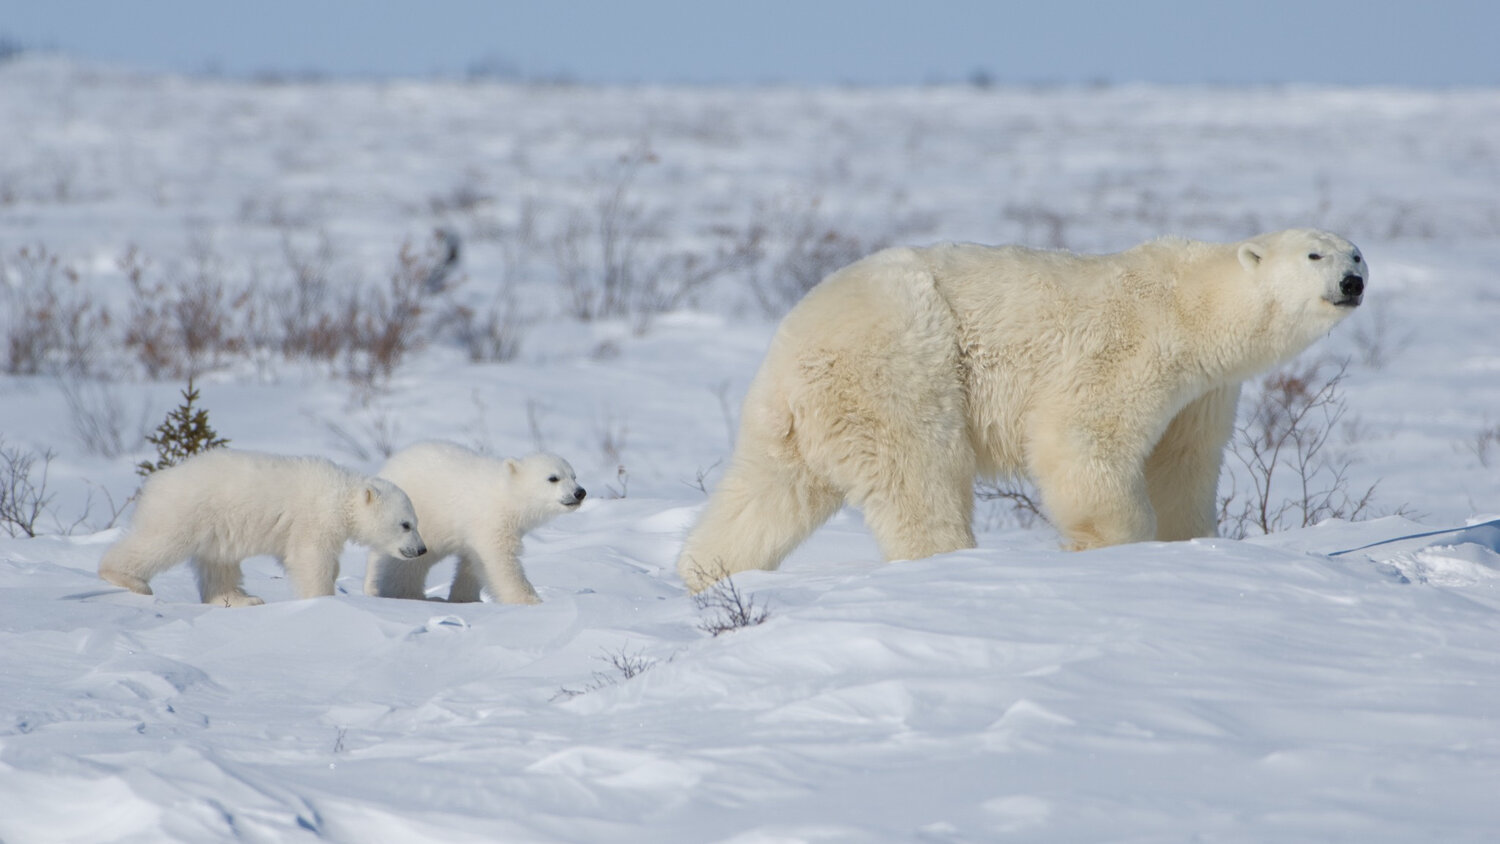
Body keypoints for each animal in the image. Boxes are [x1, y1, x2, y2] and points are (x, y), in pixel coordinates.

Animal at [98, 452, 429, 605]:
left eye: (416, 521)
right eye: (406, 524)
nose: (421, 549)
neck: (341, 494)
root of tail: (157, 481)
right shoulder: (313, 519)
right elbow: (311, 559)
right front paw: (322, 600)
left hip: (215, 528)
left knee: (219, 565)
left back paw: (240, 599)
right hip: (186, 513)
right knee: (159, 542)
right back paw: (126, 578)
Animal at [366, 446, 588, 605]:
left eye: (574, 476)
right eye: (553, 478)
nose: (580, 492)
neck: (506, 494)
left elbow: (472, 563)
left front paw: (465, 599)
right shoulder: (491, 520)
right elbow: (499, 560)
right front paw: (531, 601)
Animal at [681, 227, 1374, 590]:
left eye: (1358, 253)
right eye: (1315, 254)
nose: (1353, 283)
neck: (1193, 303)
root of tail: (794, 338)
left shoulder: (1204, 393)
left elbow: (1183, 464)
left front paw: (1192, 545)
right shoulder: (1131, 347)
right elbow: (1083, 438)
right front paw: (1108, 548)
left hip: (795, 415)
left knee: (767, 492)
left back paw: (708, 574)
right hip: (900, 367)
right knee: (920, 474)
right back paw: (949, 562)